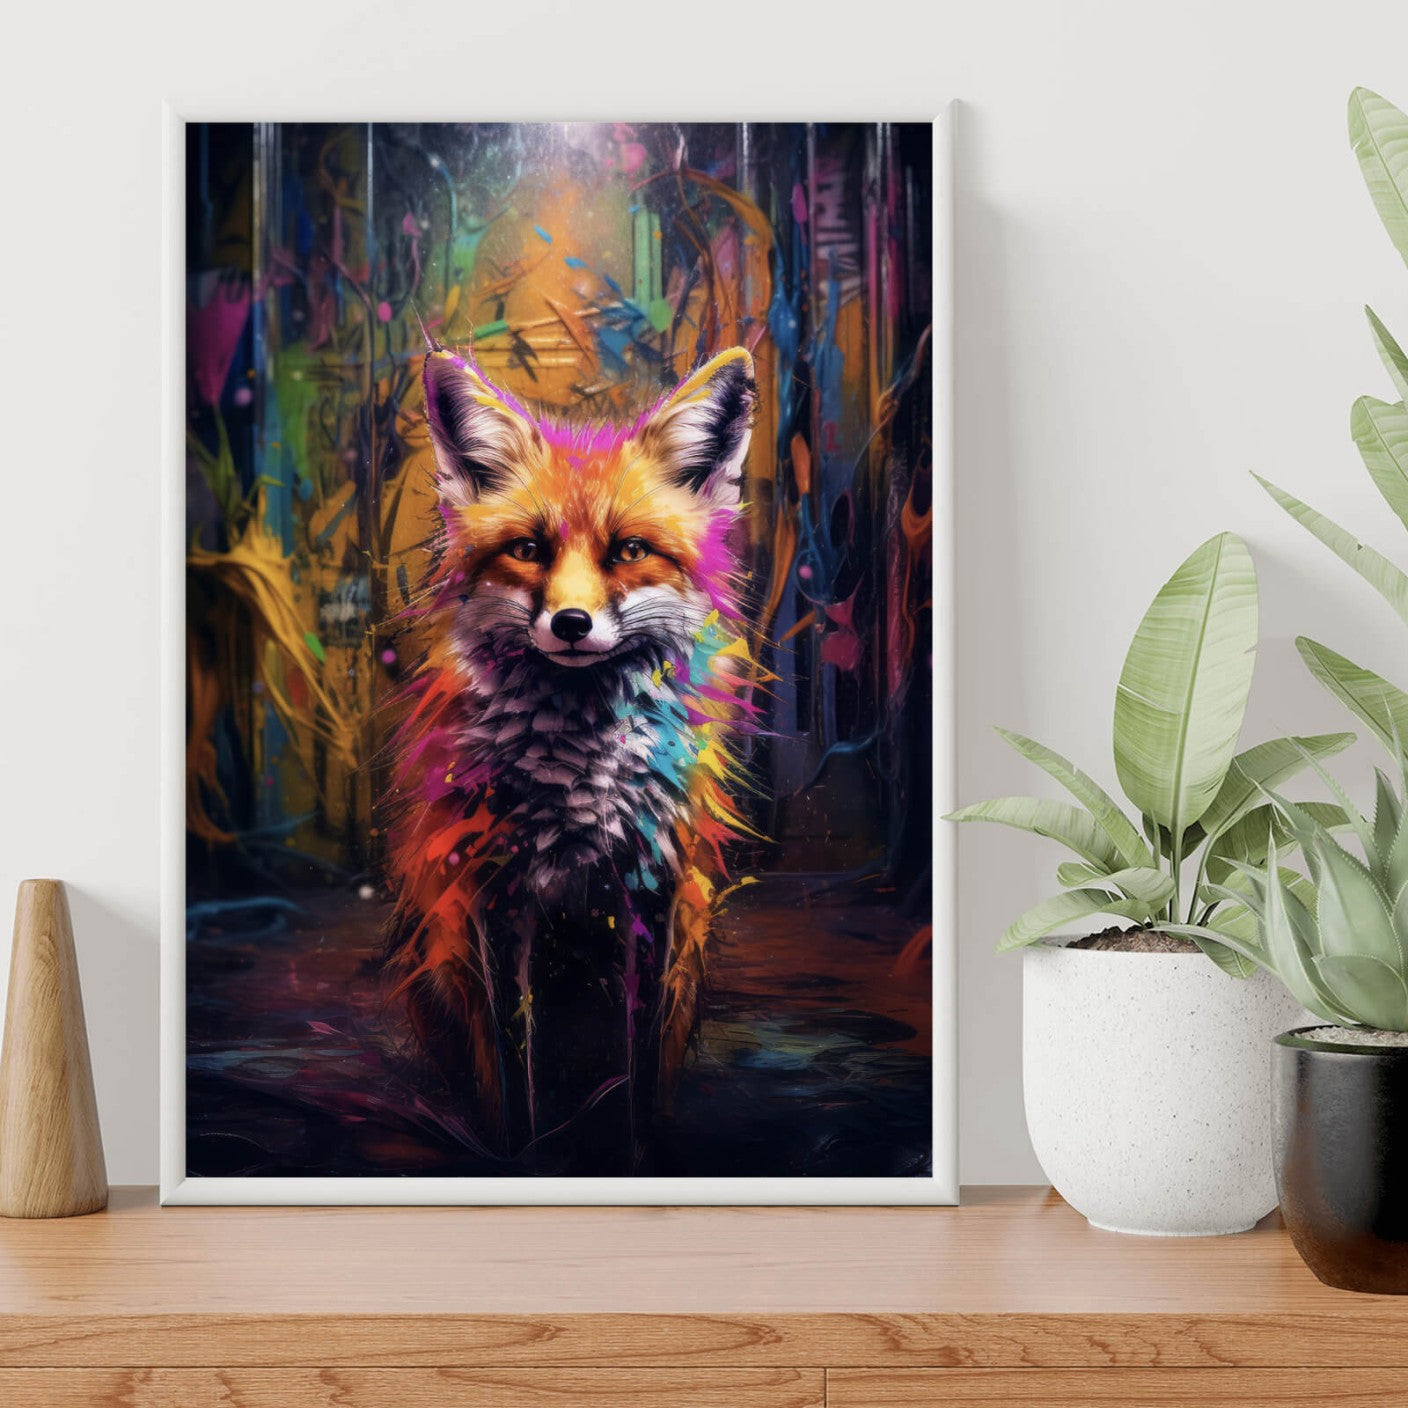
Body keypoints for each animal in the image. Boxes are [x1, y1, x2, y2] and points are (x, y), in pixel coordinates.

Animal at [380, 344, 758, 1168]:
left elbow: (639, 1069)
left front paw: (639, 1155)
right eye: (529, 550)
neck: (579, 787)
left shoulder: (652, 892)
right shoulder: (494, 892)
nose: (572, 623)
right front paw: (522, 1159)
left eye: (629, 551)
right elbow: (513, 1061)